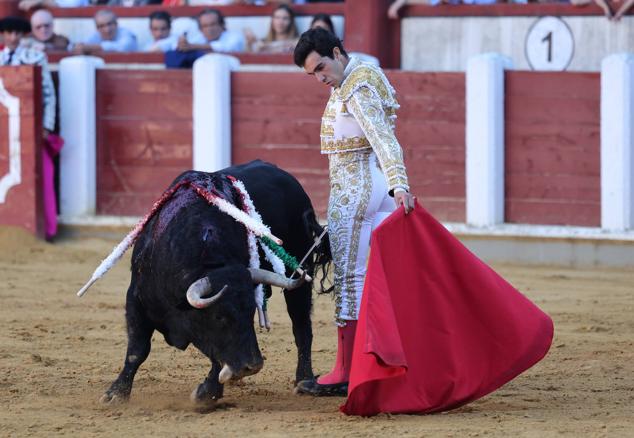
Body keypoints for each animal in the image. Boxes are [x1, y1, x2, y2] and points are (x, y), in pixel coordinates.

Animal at [101, 160, 328, 404]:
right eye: (219, 316)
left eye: (250, 312)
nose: (252, 366)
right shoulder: (136, 297)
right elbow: (138, 349)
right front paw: (116, 393)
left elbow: (216, 355)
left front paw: (207, 393)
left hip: (300, 278)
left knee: (302, 327)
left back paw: (304, 380)